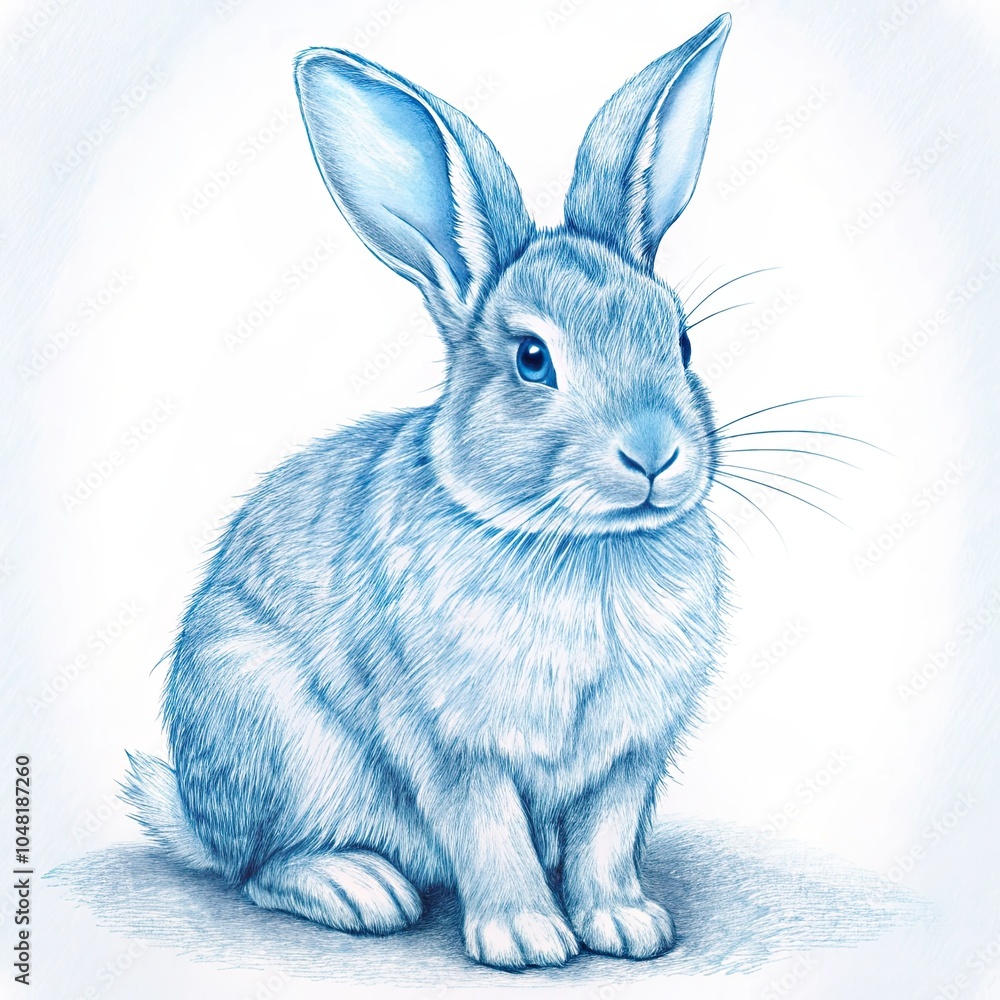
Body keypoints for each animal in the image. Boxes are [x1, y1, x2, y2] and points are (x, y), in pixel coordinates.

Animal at [124, 13, 732, 971]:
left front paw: (627, 924)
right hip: (274, 736)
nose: (654, 454)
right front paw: (526, 939)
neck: (577, 542)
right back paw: (357, 886)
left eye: (680, 341)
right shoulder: (450, 740)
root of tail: (192, 812)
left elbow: (606, 836)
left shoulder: (631, 752)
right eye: (532, 358)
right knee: (257, 869)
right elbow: (488, 830)